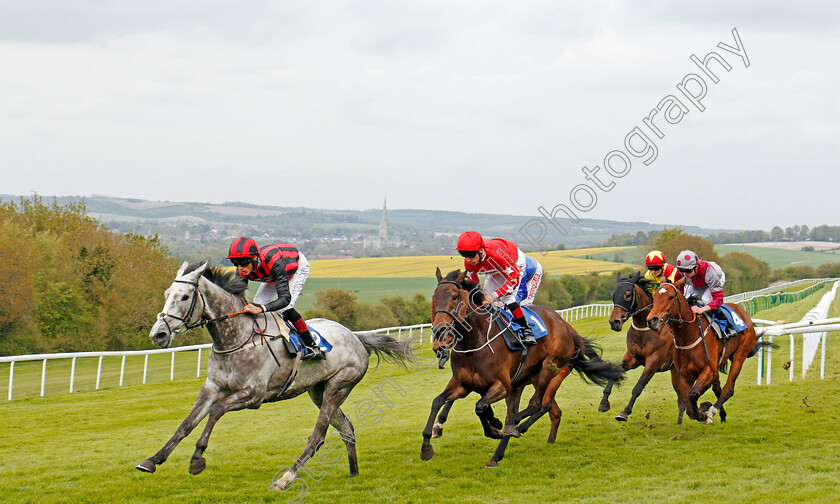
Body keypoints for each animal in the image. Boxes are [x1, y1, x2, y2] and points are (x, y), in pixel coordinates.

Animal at [136, 262, 412, 490]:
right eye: (166, 294)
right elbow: (186, 423)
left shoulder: (254, 394)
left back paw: (286, 478)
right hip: (318, 391)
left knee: (319, 435)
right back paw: (354, 473)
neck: (237, 337)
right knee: (346, 427)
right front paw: (153, 459)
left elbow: (216, 411)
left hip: (339, 386)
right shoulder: (212, 387)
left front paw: (197, 459)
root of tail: (355, 337)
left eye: (184, 296)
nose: (158, 334)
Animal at [420, 270, 624, 466]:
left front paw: (494, 428)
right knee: (547, 409)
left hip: (551, 367)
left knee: (538, 404)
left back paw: (514, 427)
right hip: (523, 382)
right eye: (434, 297)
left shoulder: (502, 385)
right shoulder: (462, 384)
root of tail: (565, 325)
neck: (475, 341)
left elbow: (480, 406)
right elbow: (438, 401)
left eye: (454, 296)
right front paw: (427, 445)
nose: (439, 332)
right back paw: (504, 451)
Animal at [596, 274, 684, 424]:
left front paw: (624, 412)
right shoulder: (632, 358)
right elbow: (615, 373)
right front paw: (604, 403)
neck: (645, 330)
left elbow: (638, 387)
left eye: (627, 295)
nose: (614, 322)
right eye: (613, 294)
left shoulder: (654, 362)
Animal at [648, 278, 772, 424]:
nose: (652, 320)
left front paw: (703, 413)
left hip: (740, 355)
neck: (689, 336)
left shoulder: (709, 369)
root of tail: (743, 312)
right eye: (654, 297)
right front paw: (701, 411)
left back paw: (712, 411)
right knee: (717, 389)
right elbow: (688, 404)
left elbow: (693, 394)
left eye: (671, 297)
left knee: (728, 389)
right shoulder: (685, 375)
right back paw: (721, 414)